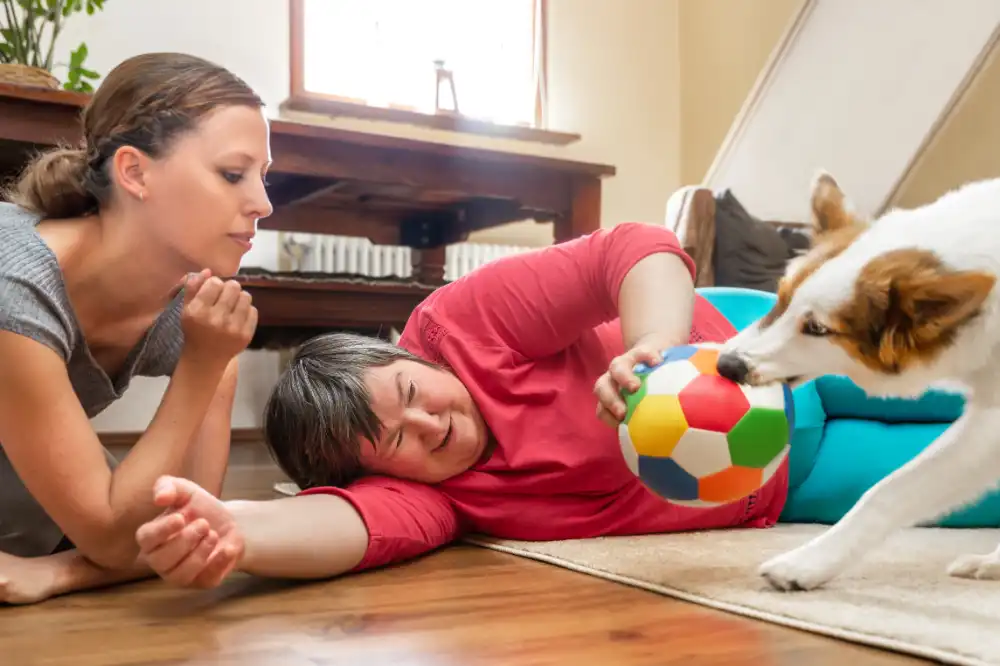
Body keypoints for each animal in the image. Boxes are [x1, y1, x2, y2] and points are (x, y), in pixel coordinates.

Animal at [716, 172, 1000, 592]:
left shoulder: (988, 429)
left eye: (818, 328)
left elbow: (887, 492)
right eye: (781, 299)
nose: (726, 364)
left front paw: (807, 563)